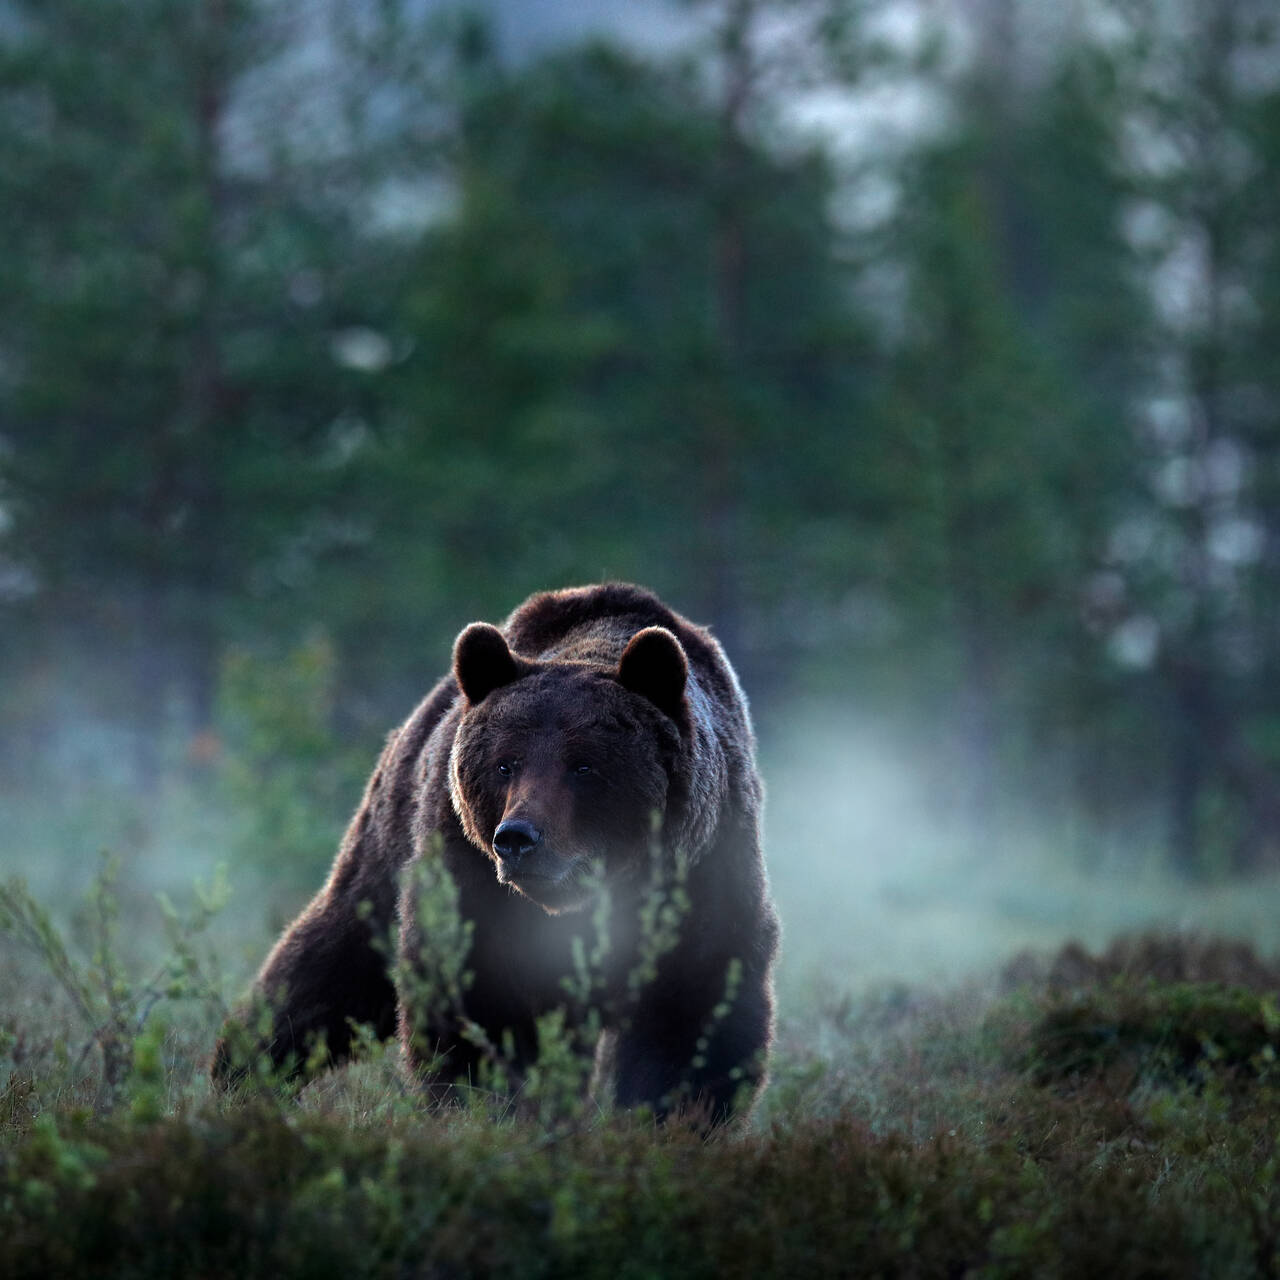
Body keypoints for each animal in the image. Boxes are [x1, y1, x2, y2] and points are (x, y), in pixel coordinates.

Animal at [212, 586, 778, 1126]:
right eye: (506, 764)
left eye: (584, 766)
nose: (518, 838)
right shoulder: (469, 874)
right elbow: (475, 999)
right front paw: (492, 1112)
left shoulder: (702, 871)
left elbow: (694, 1013)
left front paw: (674, 1121)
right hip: (389, 842)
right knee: (330, 964)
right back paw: (241, 1073)